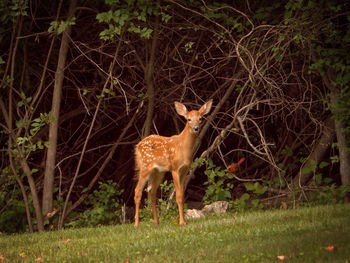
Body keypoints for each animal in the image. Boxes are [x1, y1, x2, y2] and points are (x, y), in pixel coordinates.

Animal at [133, 100, 212, 228]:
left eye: (200, 118)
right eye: (188, 119)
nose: (196, 128)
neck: (183, 148)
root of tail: (137, 146)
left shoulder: (185, 170)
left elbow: (183, 196)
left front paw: (183, 220)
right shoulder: (175, 168)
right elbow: (178, 196)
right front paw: (182, 222)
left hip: (158, 172)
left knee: (152, 191)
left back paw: (156, 222)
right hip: (145, 166)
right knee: (138, 191)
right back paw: (136, 224)